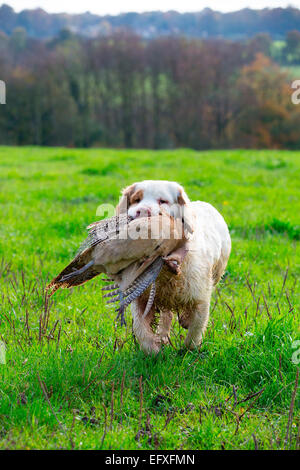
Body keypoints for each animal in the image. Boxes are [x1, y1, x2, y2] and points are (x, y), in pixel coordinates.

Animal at [116, 180, 231, 352]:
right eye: (136, 199)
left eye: (163, 201)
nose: (141, 211)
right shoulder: (141, 299)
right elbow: (141, 329)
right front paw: (155, 351)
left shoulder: (201, 299)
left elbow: (194, 333)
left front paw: (187, 352)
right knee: (166, 315)